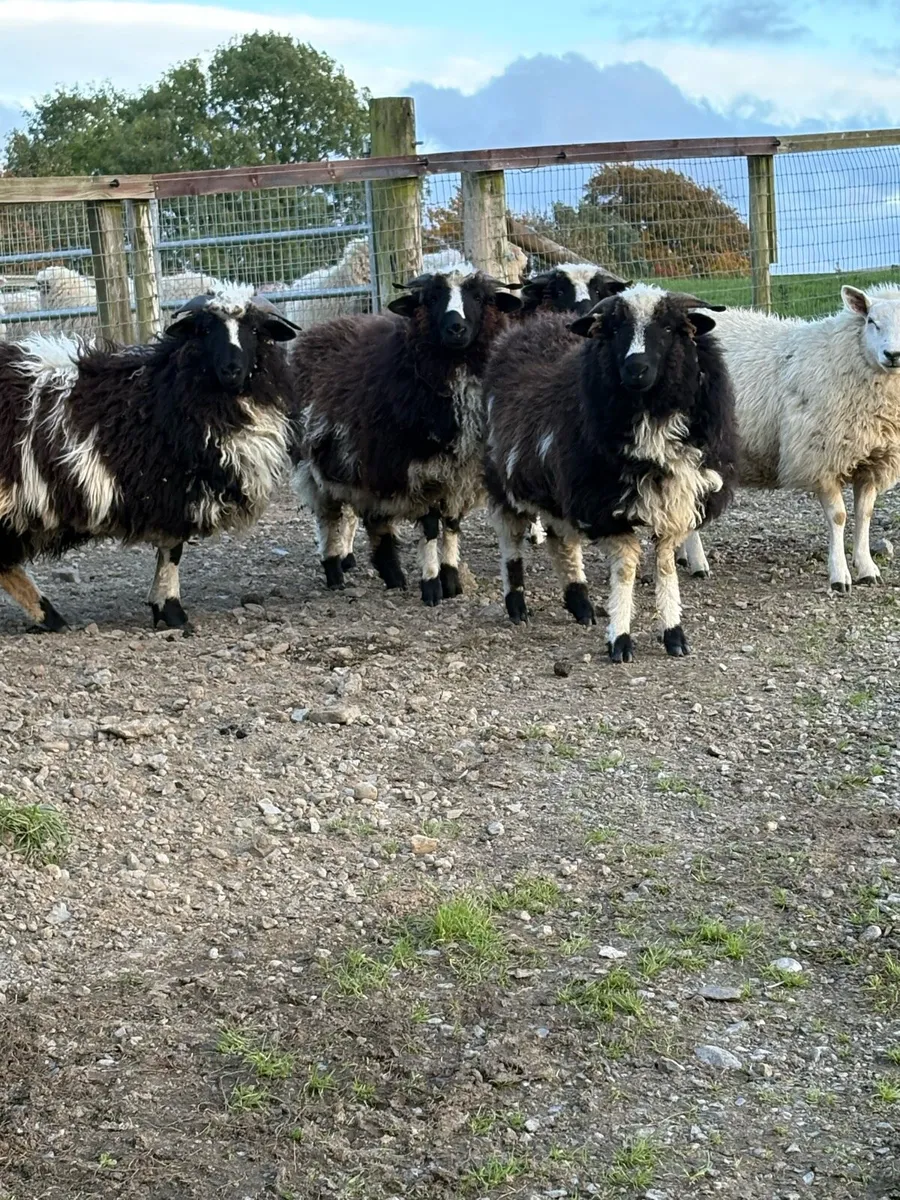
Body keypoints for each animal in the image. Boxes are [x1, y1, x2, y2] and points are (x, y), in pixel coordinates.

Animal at [0, 285, 299, 632]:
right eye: (206, 329)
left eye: (254, 330)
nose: (232, 370)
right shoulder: (171, 490)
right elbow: (172, 552)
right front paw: (172, 612)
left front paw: (163, 609)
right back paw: (50, 616)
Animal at [290, 267, 522, 604]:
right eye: (433, 298)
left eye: (479, 298)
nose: (456, 328)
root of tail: (318, 330)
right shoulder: (422, 470)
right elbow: (430, 528)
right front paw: (432, 586)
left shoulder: (459, 473)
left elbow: (452, 524)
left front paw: (451, 580)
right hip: (315, 463)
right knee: (328, 517)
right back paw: (334, 571)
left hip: (370, 465)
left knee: (375, 520)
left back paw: (393, 576)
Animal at [483, 284, 737, 661]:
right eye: (615, 329)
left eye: (668, 327)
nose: (636, 368)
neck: (651, 417)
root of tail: (532, 326)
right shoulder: (601, 503)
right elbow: (627, 567)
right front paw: (620, 637)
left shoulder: (676, 501)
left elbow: (665, 564)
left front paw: (674, 633)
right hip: (506, 476)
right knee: (511, 537)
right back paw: (517, 604)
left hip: (558, 485)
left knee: (561, 539)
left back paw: (580, 603)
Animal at [678, 283, 900, 591]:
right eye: (871, 321)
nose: (893, 355)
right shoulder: (819, 457)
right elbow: (839, 517)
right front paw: (839, 575)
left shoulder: (873, 461)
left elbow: (865, 515)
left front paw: (867, 568)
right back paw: (698, 563)